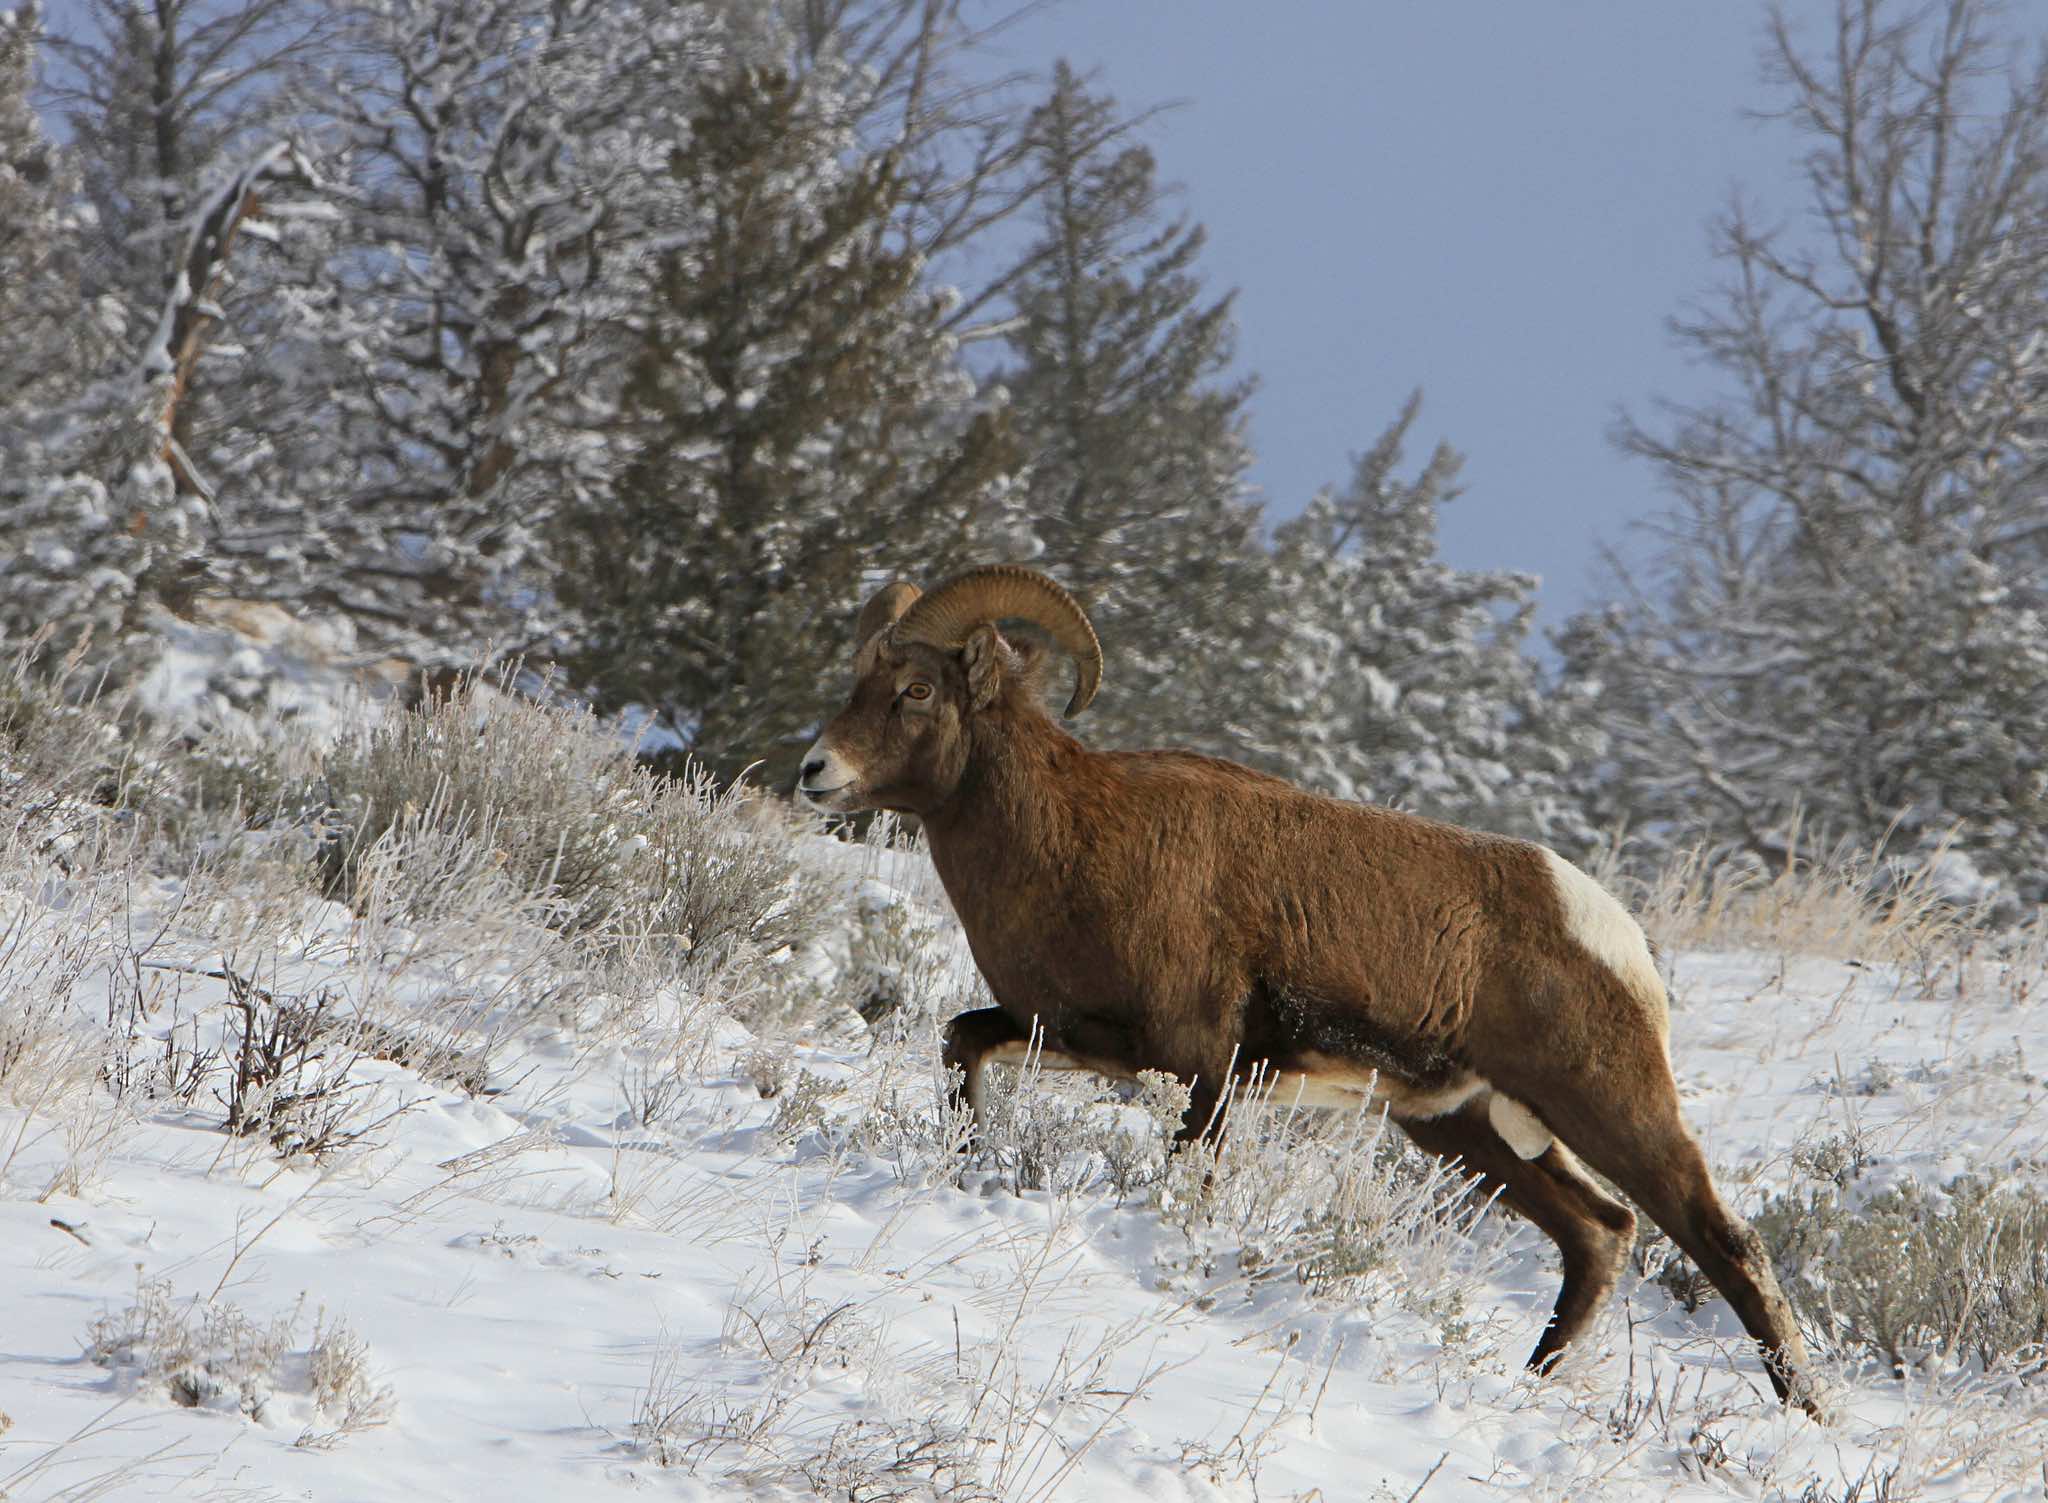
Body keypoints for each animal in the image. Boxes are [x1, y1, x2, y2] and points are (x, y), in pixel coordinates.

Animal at [790, 569, 1818, 1416]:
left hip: (1610, 1108)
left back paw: (1803, 1411)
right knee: (1599, 1234)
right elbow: (960, 1044)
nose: (815, 772)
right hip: (1464, 1127)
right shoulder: (1071, 1036)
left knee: (1724, 1243)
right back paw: (1533, 1382)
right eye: (858, 681)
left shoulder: (1199, 1069)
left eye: (916, 690)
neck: (1072, 838)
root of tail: (1619, 938)